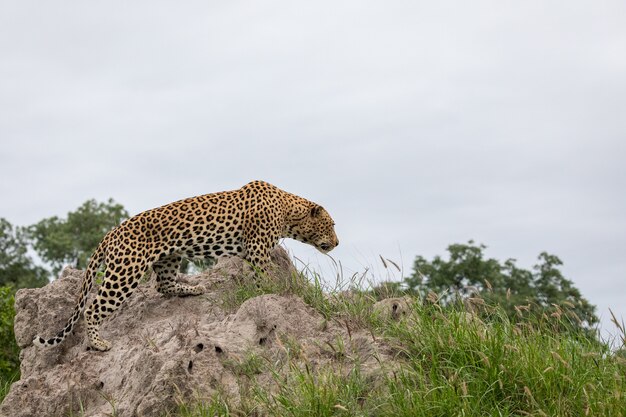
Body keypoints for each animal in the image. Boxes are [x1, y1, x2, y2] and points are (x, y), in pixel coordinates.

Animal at [34, 180, 336, 350]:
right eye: (331, 225)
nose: (337, 242)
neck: (288, 212)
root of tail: (111, 232)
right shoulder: (258, 248)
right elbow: (265, 275)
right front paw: (276, 292)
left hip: (168, 257)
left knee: (163, 285)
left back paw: (193, 289)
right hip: (125, 271)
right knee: (94, 307)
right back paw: (98, 344)